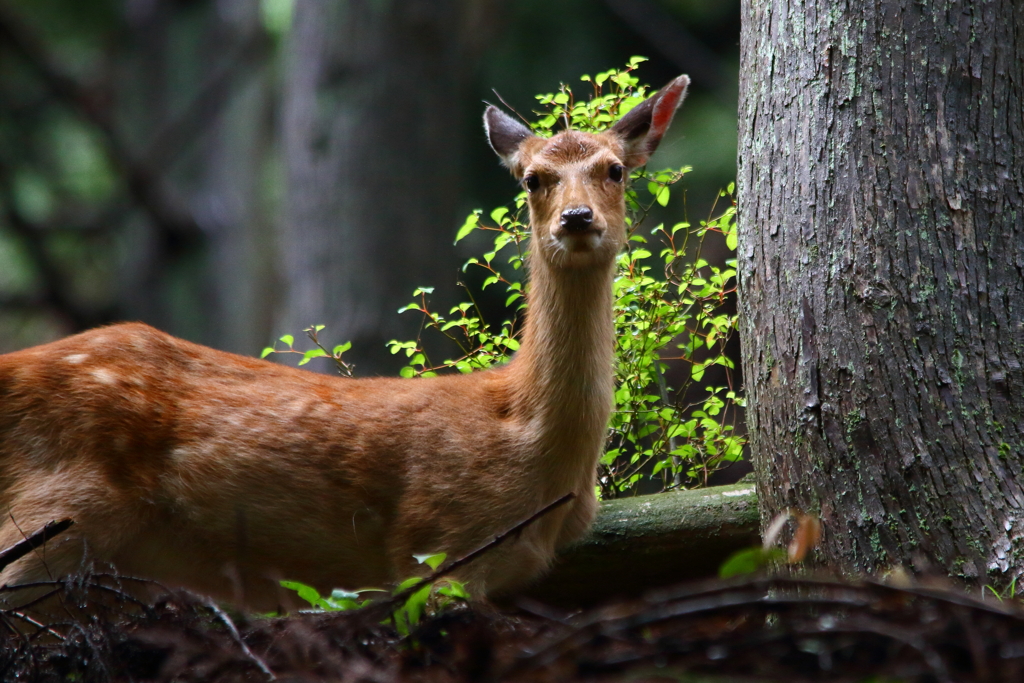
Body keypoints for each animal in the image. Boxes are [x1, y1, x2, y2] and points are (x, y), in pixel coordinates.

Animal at [0, 76, 692, 614]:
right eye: (532, 180)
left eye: (615, 170)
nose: (576, 219)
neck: (532, 440)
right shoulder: (437, 542)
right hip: (55, 509)